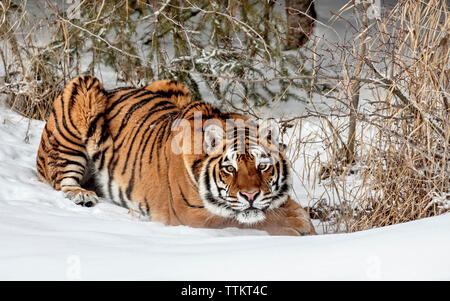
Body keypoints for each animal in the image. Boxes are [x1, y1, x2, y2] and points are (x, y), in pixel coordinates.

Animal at [36, 74, 316, 234]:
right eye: (230, 169)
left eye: (262, 166)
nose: (250, 195)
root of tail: (113, 89)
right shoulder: (196, 216)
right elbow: (256, 221)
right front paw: (298, 230)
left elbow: (288, 208)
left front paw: (307, 225)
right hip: (83, 89)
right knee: (61, 178)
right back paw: (81, 195)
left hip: (173, 85)